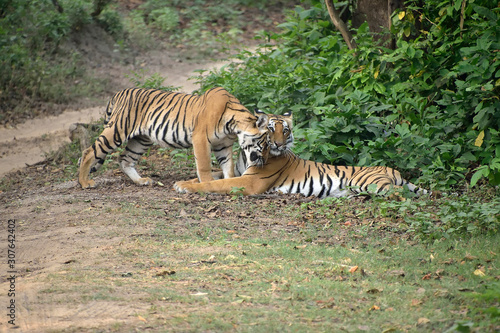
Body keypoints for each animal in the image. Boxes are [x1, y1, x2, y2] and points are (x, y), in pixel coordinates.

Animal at [77, 87, 270, 188]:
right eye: (264, 143)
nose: (262, 161)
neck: (233, 126)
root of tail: (119, 92)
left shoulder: (222, 145)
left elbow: (227, 167)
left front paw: (229, 182)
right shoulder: (200, 139)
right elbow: (204, 166)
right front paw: (207, 184)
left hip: (141, 139)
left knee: (125, 159)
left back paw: (141, 181)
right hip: (117, 130)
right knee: (89, 152)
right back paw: (85, 182)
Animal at [174, 110, 428, 197]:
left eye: (285, 130)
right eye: (270, 129)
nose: (277, 145)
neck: (246, 154)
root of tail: (393, 170)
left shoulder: (250, 182)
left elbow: (215, 183)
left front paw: (186, 187)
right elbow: (213, 176)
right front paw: (181, 182)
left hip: (372, 182)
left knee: (400, 194)